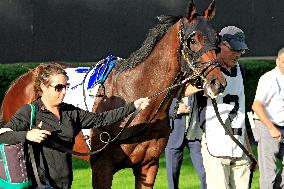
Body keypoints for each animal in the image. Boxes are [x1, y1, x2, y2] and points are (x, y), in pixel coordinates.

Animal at [0, 0, 226, 188]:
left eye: (217, 39)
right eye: (193, 40)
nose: (218, 83)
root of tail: (19, 82)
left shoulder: (148, 166)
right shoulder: (102, 167)